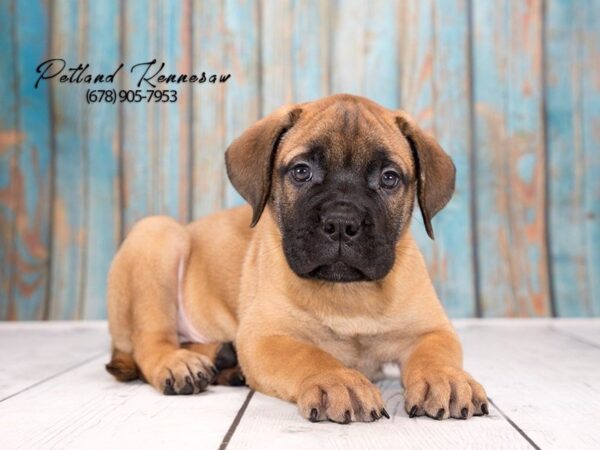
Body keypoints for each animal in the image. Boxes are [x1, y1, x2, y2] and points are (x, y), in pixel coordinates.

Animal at [105, 94, 488, 422]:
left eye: (389, 178)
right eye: (301, 171)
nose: (341, 222)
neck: (349, 294)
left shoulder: (431, 329)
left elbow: (435, 353)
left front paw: (447, 379)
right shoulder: (266, 337)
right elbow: (309, 354)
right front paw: (339, 380)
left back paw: (223, 361)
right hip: (157, 235)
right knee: (150, 341)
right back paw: (179, 363)